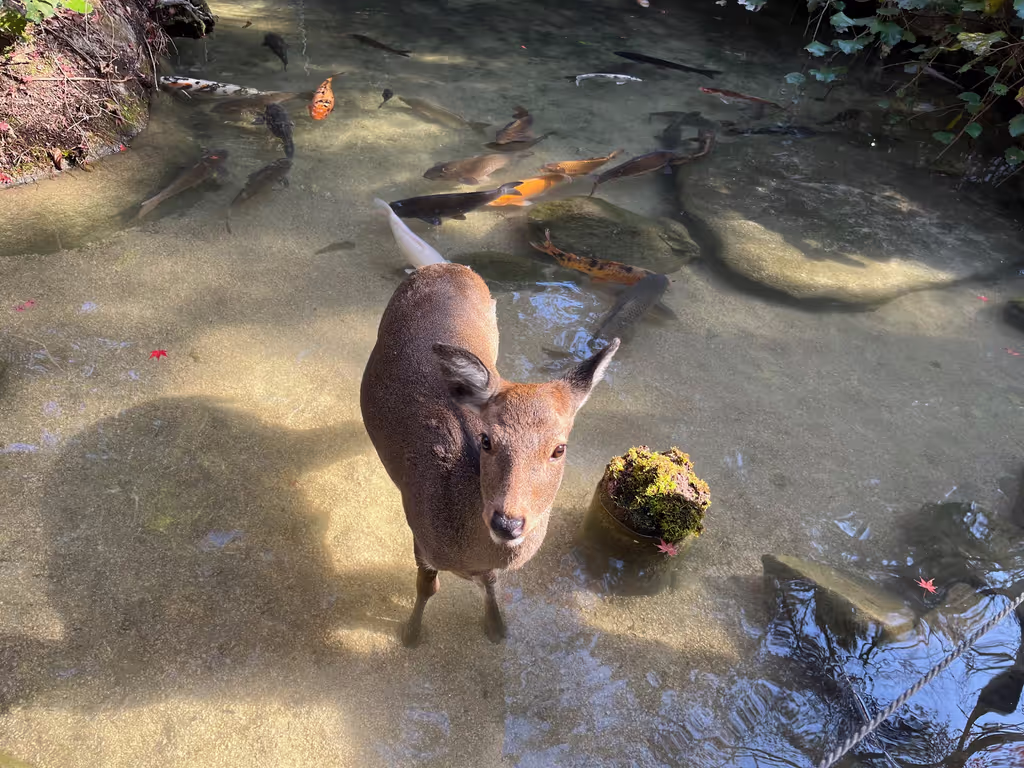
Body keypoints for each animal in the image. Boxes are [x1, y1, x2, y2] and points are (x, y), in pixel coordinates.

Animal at [360, 263, 619, 646]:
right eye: (486, 440)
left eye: (559, 448)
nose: (507, 523)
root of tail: (446, 265)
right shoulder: (418, 532)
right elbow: (427, 588)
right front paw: (411, 634)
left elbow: (491, 582)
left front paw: (497, 628)